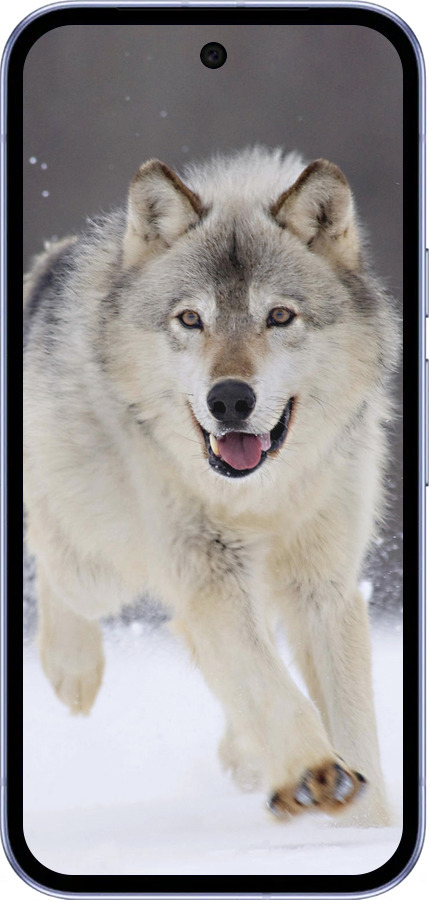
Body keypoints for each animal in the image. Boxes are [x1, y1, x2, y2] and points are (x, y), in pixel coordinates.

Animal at [23, 147, 399, 826]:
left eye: (279, 316)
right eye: (191, 319)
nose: (229, 399)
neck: (260, 497)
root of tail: (50, 262)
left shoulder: (323, 586)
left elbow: (352, 722)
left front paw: (366, 826)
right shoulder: (209, 573)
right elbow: (271, 687)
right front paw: (313, 773)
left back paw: (246, 757)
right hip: (102, 565)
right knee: (51, 555)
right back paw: (73, 670)